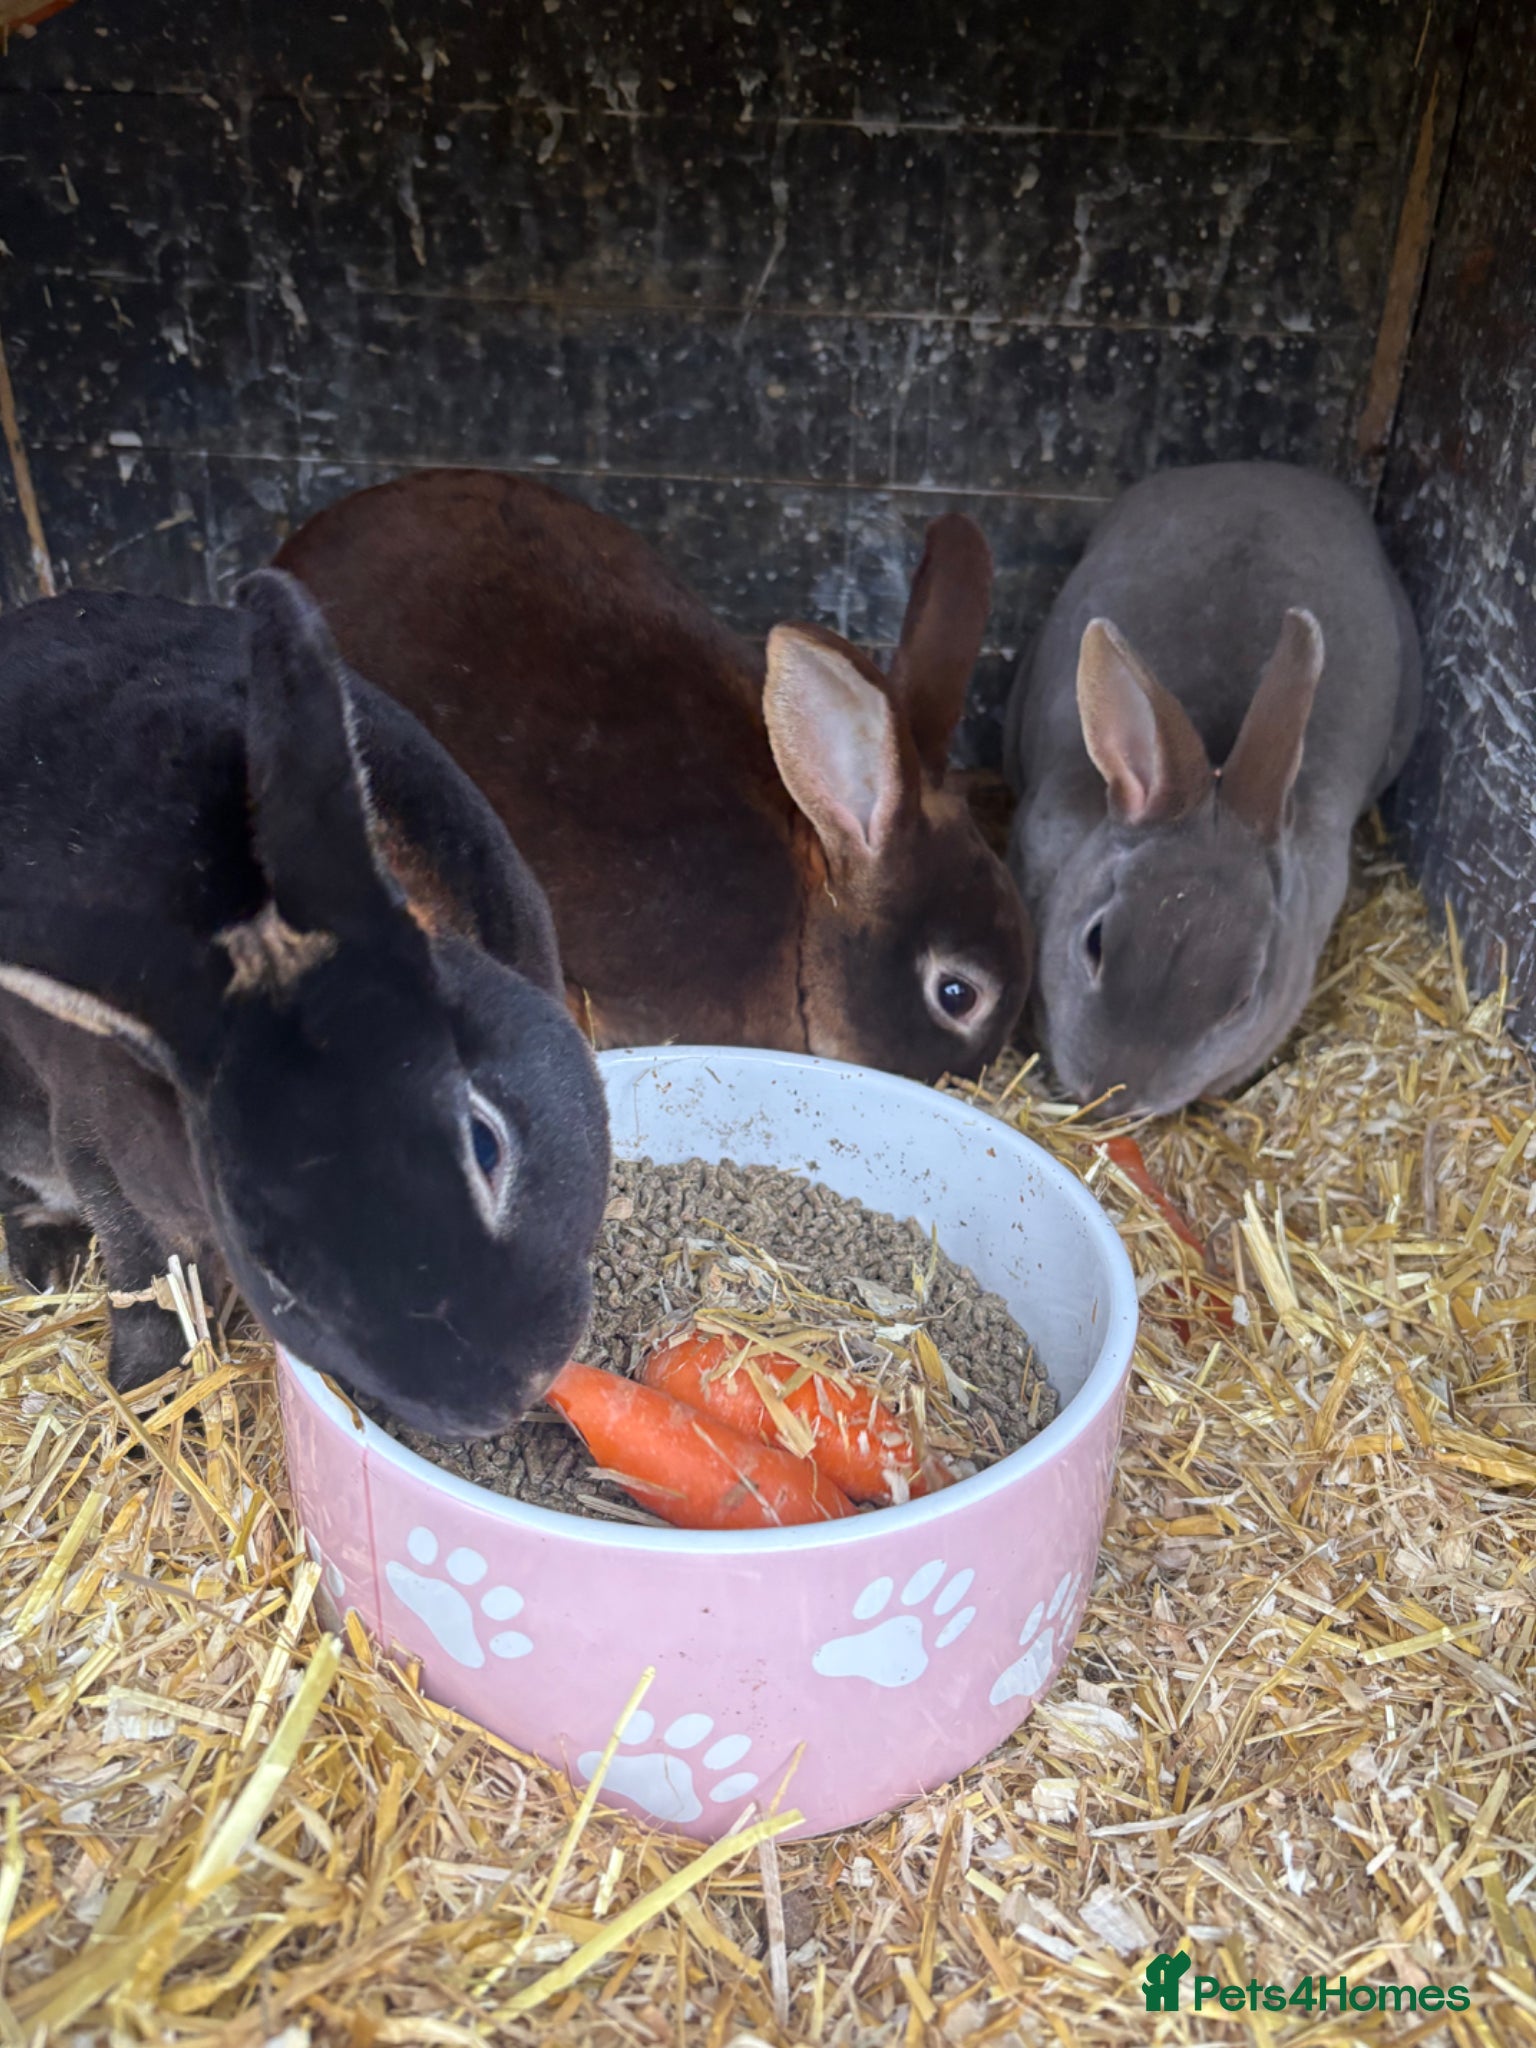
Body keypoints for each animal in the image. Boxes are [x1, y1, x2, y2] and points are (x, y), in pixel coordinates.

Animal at [0, 570, 610, 1438]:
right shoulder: (106, 1164)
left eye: (483, 1142)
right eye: (275, 1269)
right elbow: (148, 1291)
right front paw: (144, 1404)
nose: (505, 1397)